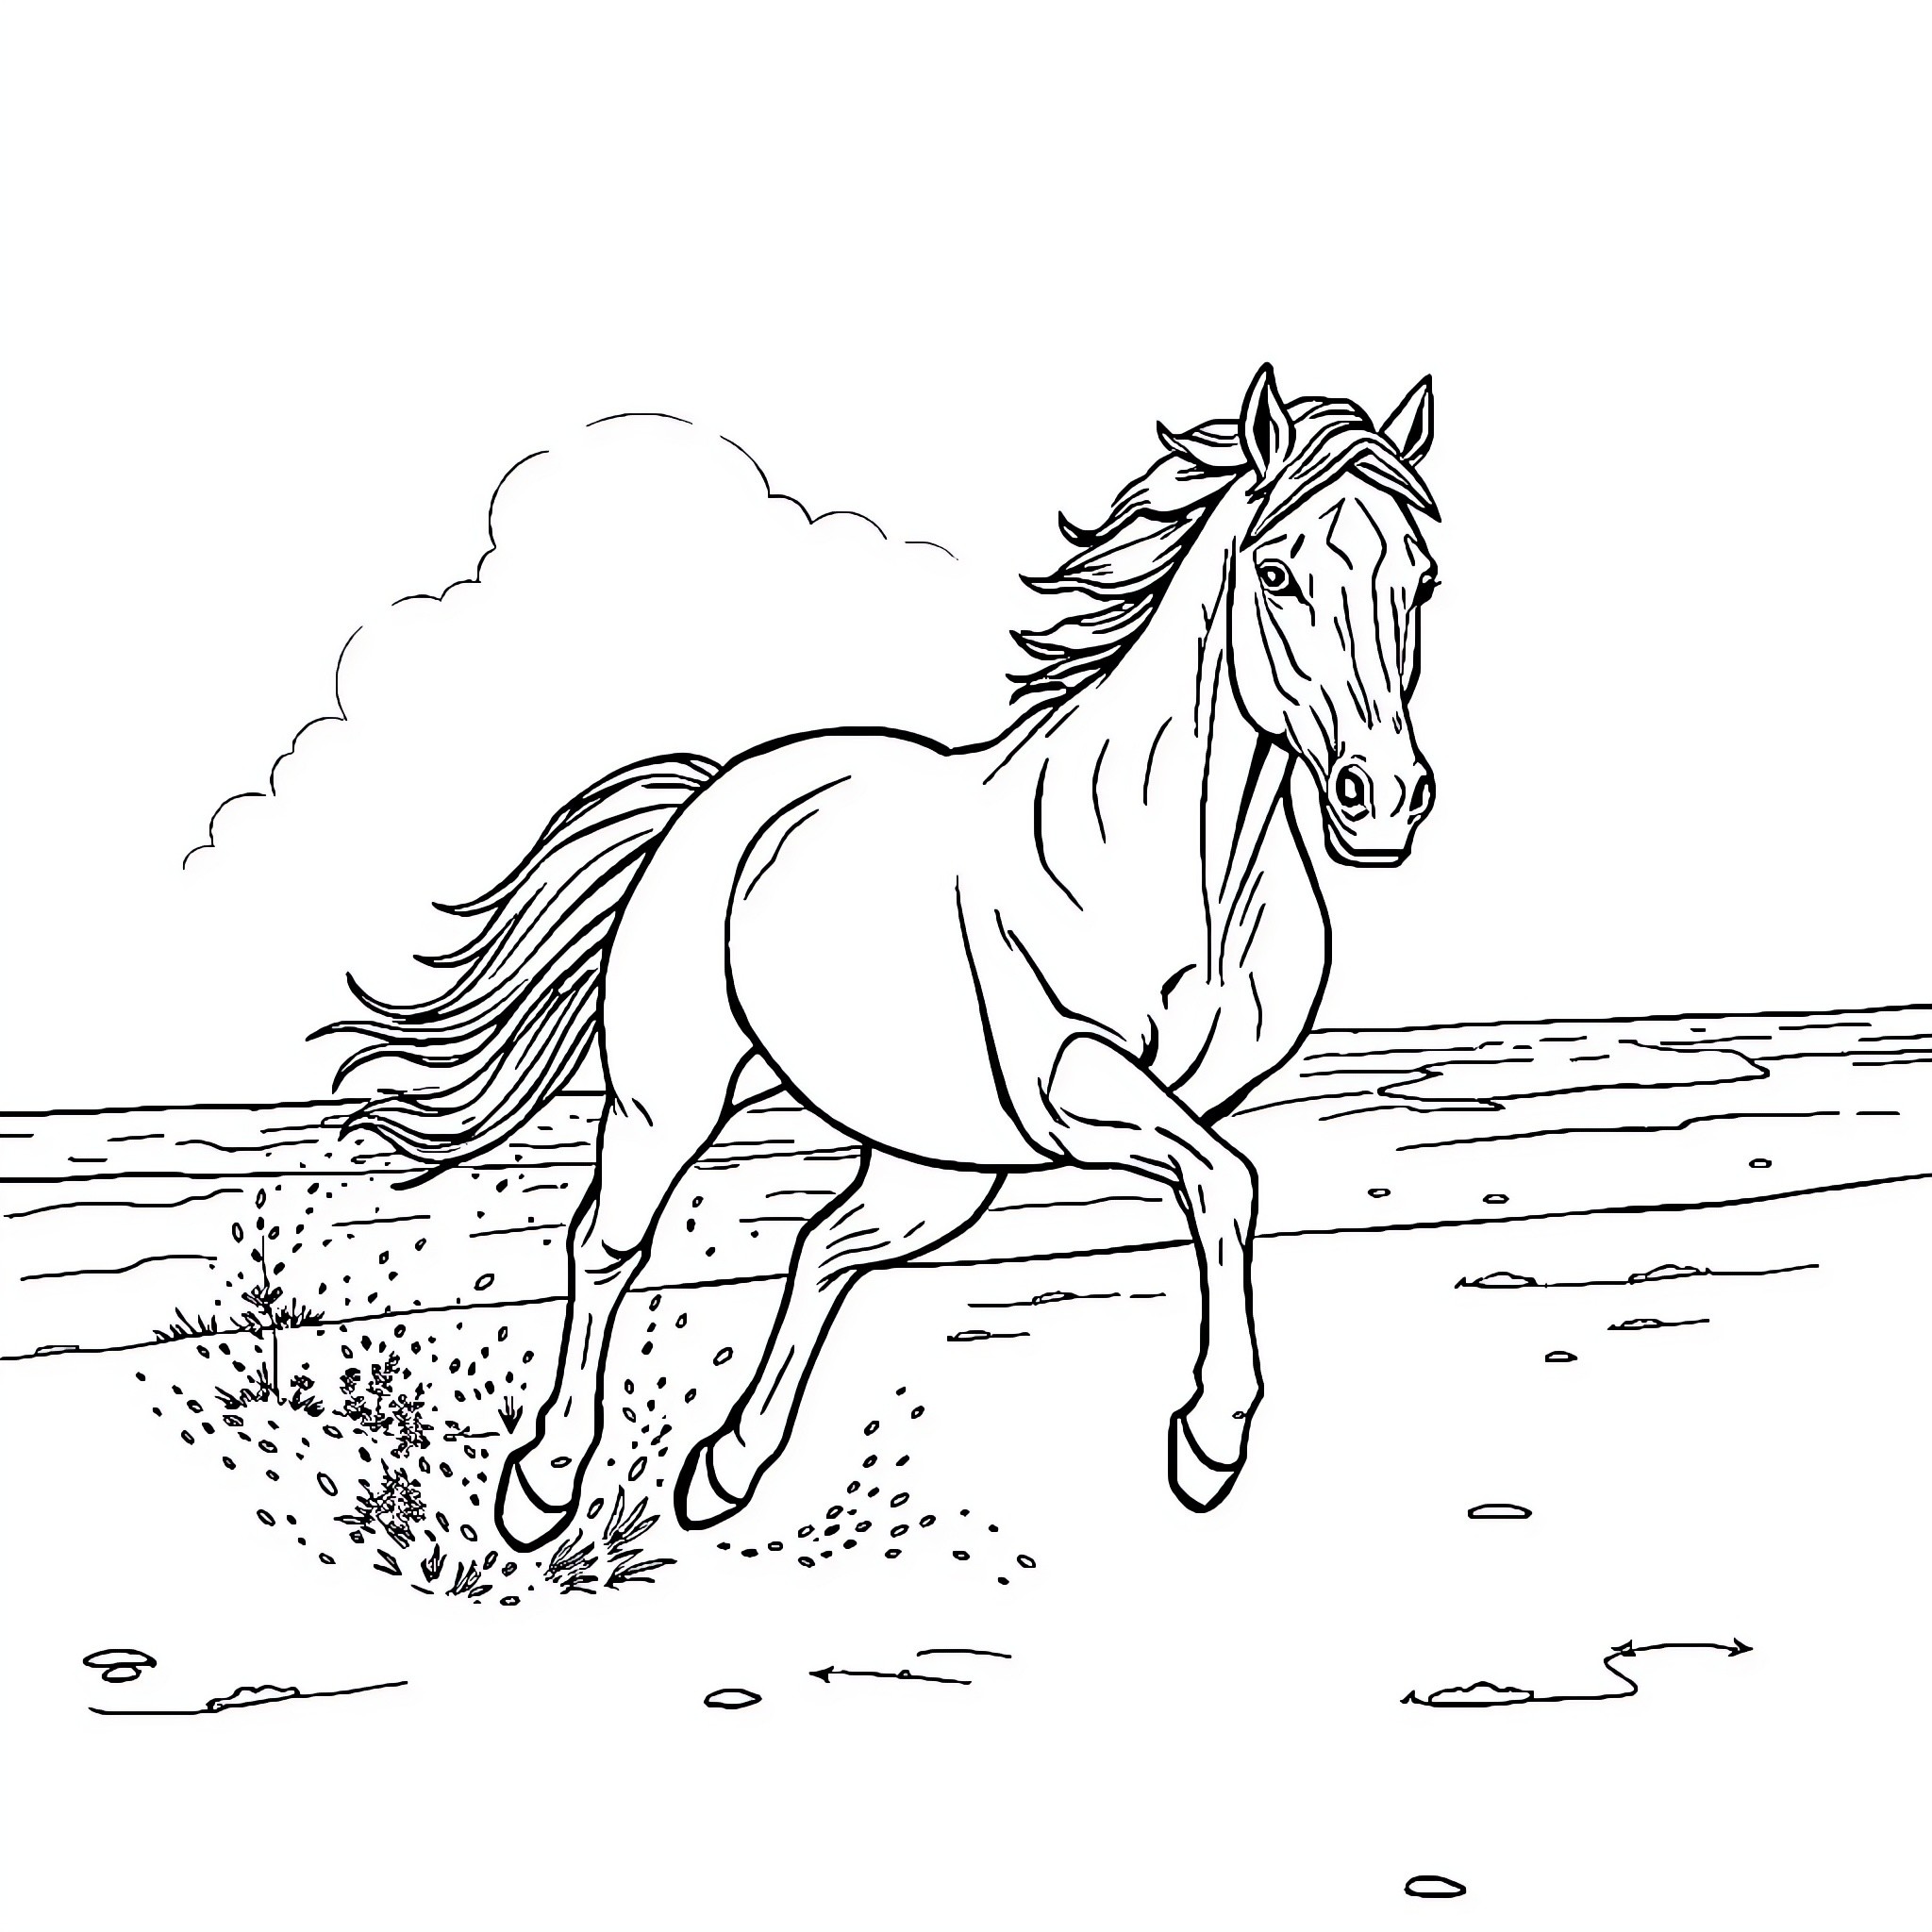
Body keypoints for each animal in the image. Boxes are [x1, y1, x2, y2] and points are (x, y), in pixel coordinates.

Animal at [322, 364, 1442, 1551]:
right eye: (1276, 573)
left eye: (1419, 578)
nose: (1382, 796)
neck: (1181, 864)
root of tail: (714, 791)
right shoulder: (1069, 1079)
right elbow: (1227, 1180)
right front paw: (1209, 1436)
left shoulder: (1149, 1103)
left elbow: (1219, 1180)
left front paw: (1210, 1434)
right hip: (668, 1100)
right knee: (607, 1243)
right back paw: (543, 1482)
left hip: (935, 1163)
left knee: (824, 1243)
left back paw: (724, 1467)